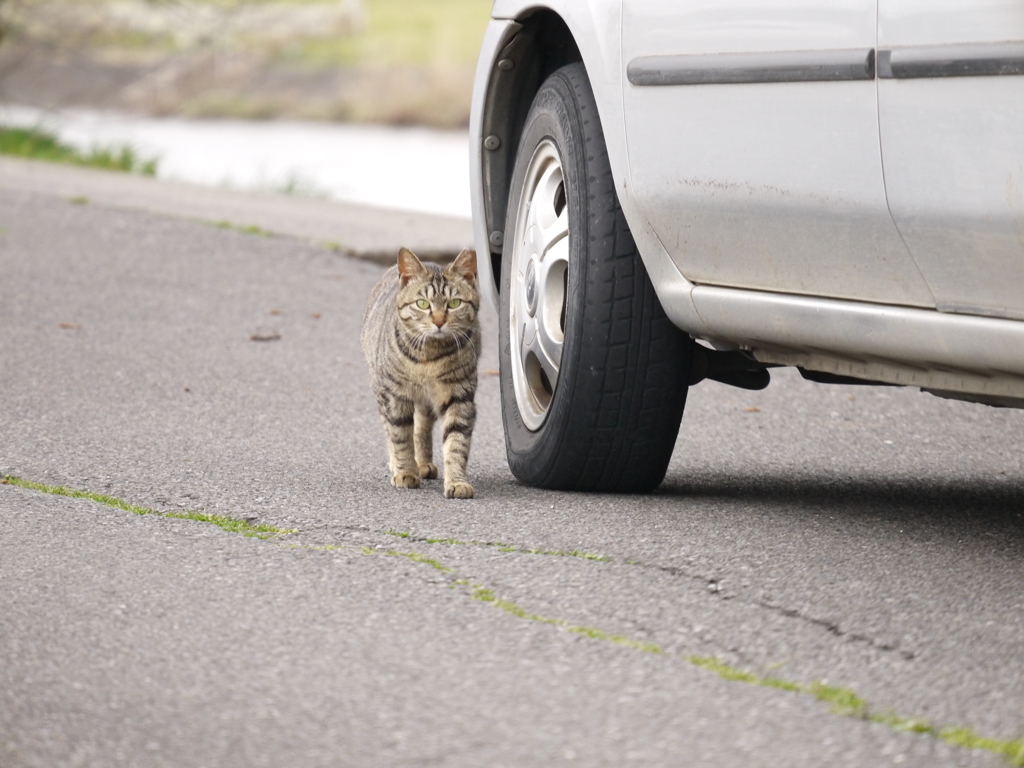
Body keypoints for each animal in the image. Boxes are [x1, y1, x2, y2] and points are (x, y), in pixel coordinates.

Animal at [360, 246, 479, 499]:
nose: (439, 321)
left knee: (422, 425)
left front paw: (457, 481)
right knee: (391, 427)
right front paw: (405, 471)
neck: (429, 357)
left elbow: (456, 441)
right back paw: (401, 464)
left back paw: (423, 462)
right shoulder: (395, 396)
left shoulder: (459, 395)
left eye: (454, 303)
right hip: (381, 389)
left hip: (426, 401)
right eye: (423, 304)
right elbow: (400, 437)